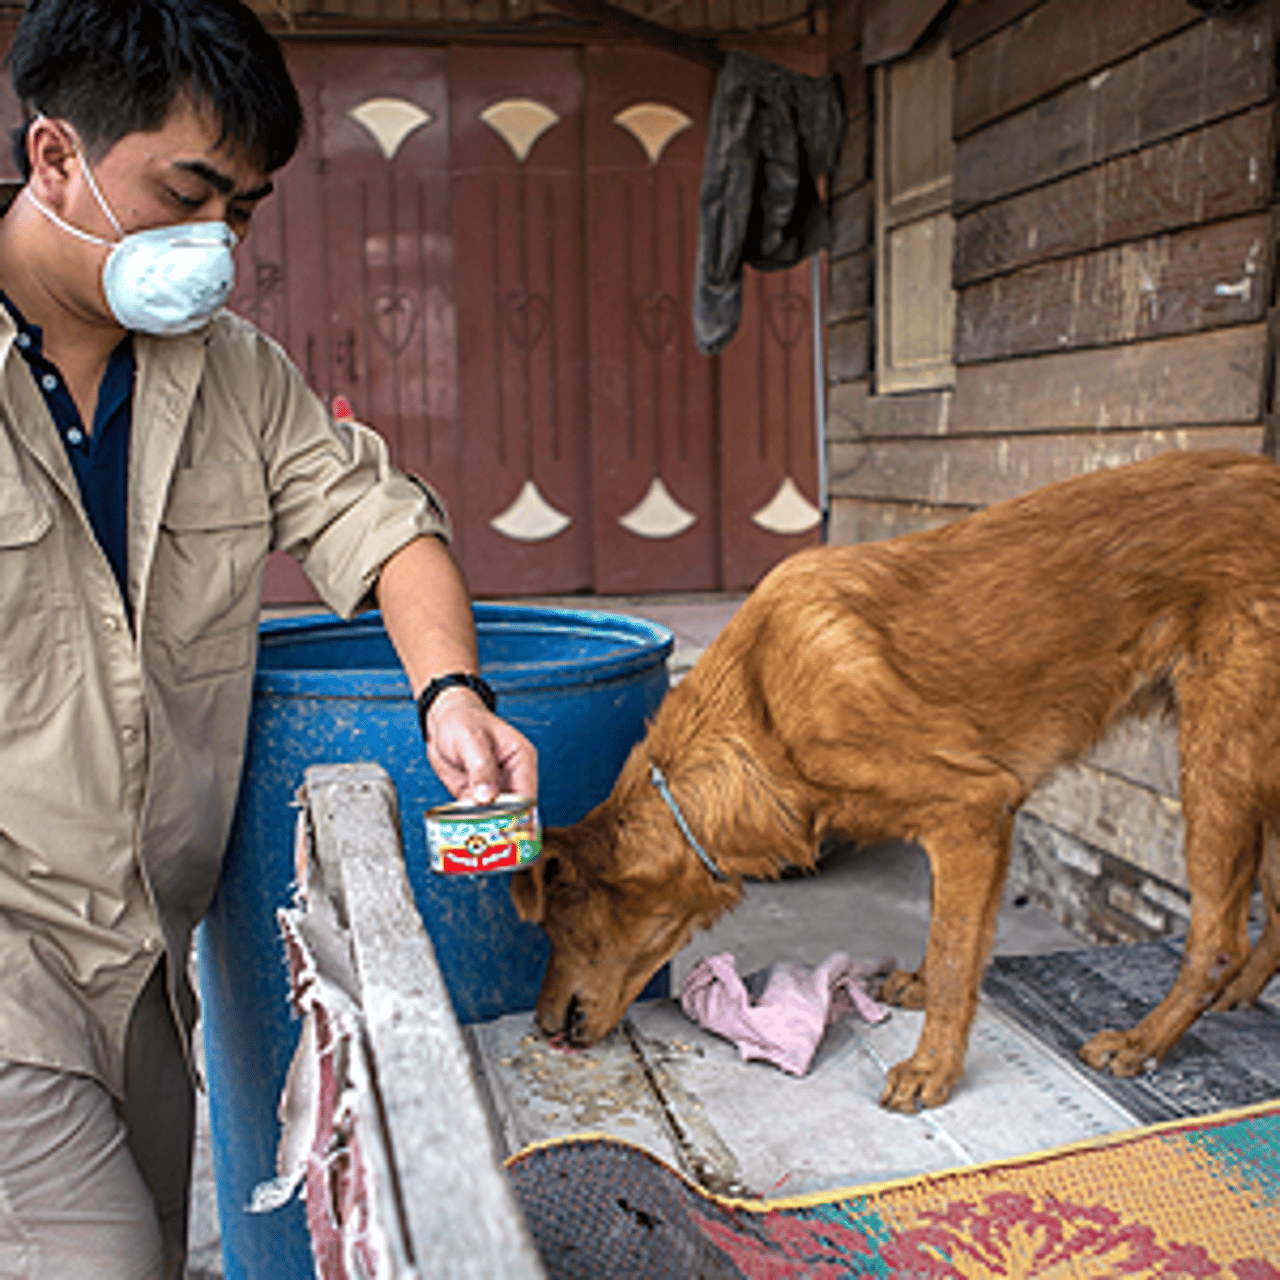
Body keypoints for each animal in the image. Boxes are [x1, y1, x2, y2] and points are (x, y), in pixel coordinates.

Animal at [509, 450, 1280, 1111]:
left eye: (552, 929)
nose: (541, 1026)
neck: (761, 710)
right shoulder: (961, 833)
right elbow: (952, 932)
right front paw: (925, 995)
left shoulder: (974, 810)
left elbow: (954, 953)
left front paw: (935, 1066)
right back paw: (1239, 996)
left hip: (1215, 759)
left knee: (1217, 938)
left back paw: (1146, 1039)